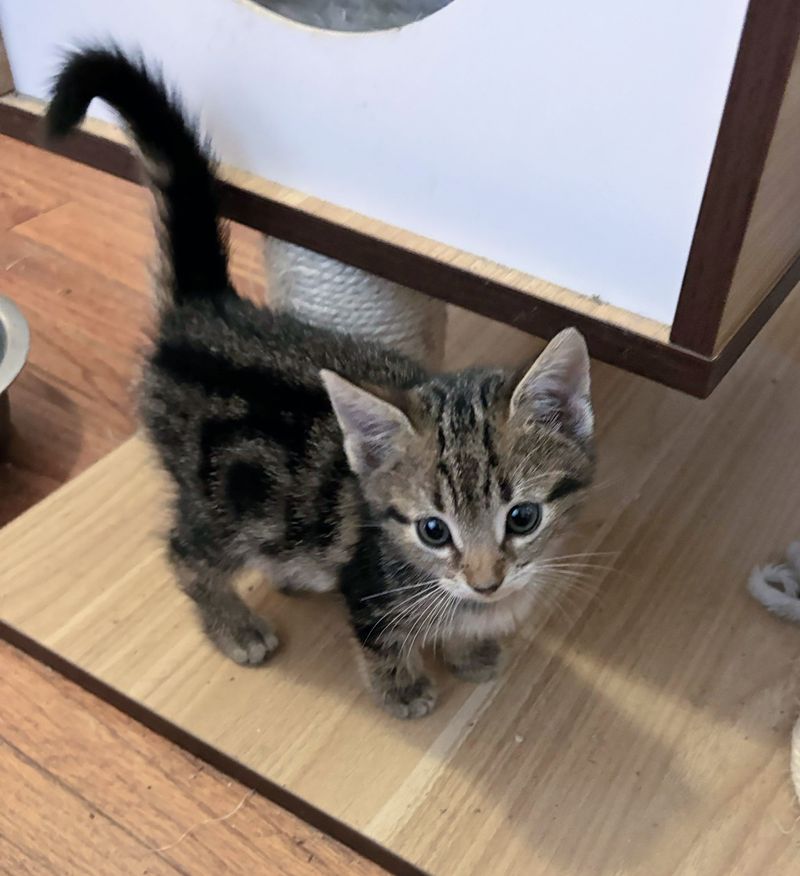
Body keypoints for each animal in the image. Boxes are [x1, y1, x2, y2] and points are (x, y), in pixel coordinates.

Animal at [45, 49, 592, 720]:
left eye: (523, 518)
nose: (487, 581)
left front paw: (472, 650)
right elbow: (384, 638)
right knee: (184, 550)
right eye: (433, 530)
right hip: (220, 503)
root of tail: (206, 311)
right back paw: (236, 627)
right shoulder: (368, 588)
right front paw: (405, 690)